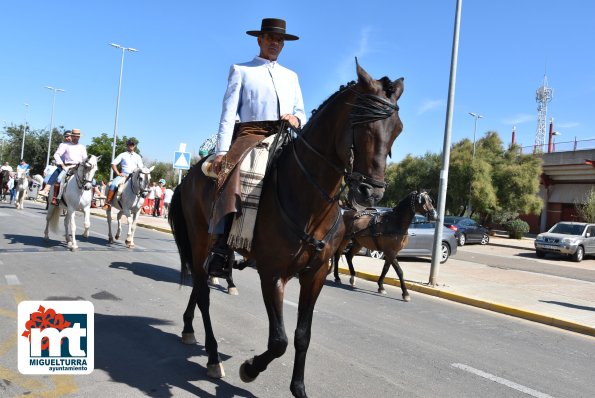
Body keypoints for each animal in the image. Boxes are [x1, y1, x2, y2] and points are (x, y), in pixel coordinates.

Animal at [169, 62, 406, 398]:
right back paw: (213, 357)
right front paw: (249, 369)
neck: (309, 201)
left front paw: (299, 388)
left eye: (397, 129)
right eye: (364, 125)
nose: (370, 193)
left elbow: (302, 335)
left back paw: (189, 328)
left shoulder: (315, 275)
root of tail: (189, 176)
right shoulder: (272, 275)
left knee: (198, 286)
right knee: (203, 294)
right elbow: (278, 341)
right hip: (200, 239)